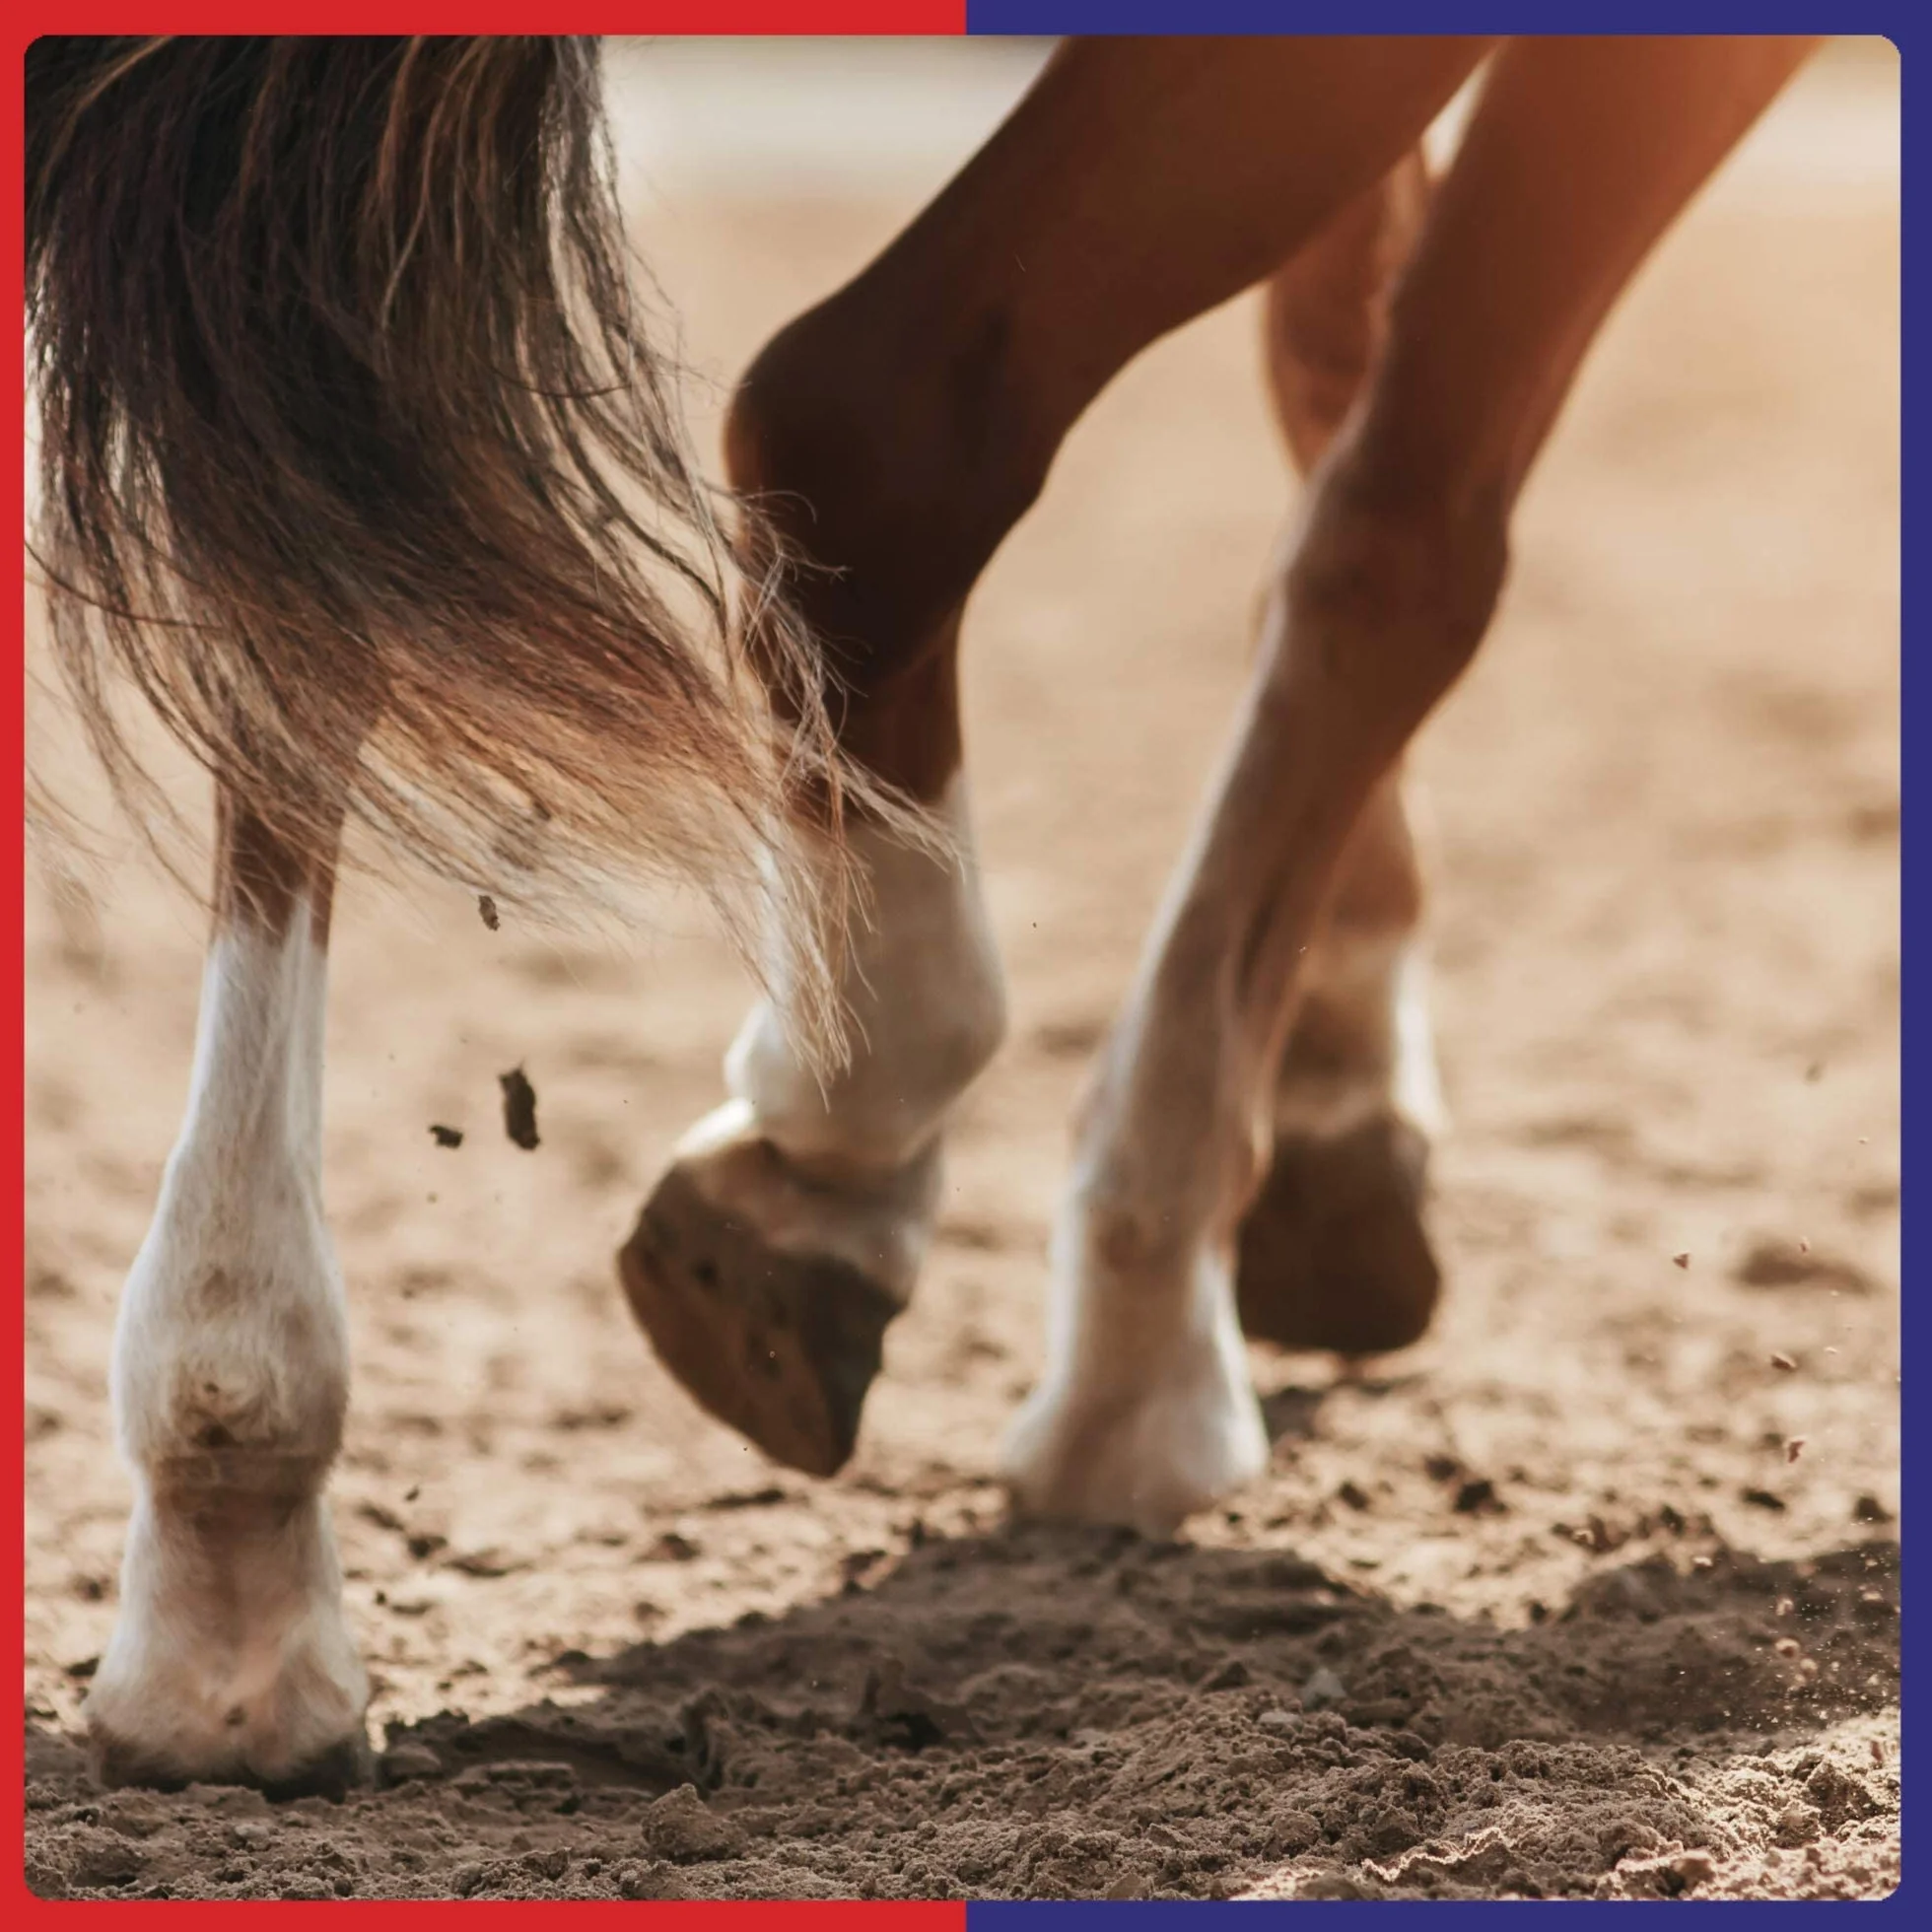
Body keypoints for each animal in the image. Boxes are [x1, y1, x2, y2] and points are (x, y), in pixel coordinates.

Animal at [25, 32, 1821, 1794]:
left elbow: (1328, 362)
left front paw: (1331, 1075)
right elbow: (1402, 523)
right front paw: (1142, 1320)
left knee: (303, 501)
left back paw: (228, 1532)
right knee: (890, 416)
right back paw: (847, 1122)